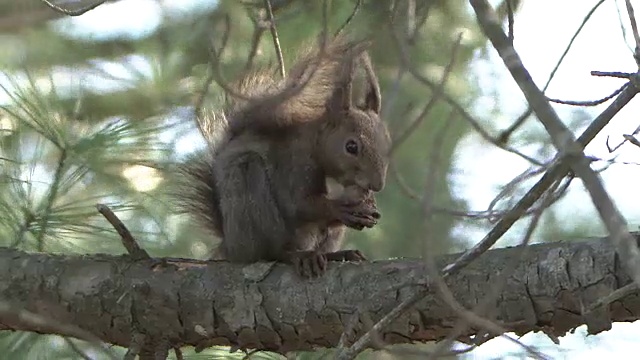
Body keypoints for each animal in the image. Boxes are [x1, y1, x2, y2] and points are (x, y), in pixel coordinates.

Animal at [175, 35, 390, 278]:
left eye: (387, 142)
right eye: (351, 146)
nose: (377, 185)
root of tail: (230, 246)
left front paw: (367, 207)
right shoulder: (294, 163)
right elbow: (298, 204)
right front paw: (341, 208)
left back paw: (337, 254)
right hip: (250, 189)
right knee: (273, 251)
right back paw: (298, 256)